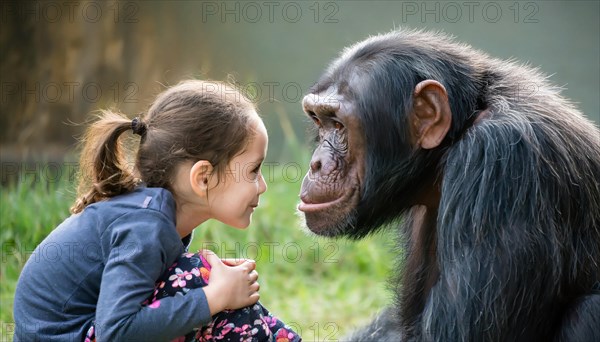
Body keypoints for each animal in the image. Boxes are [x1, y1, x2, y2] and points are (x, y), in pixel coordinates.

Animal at [296, 28, 600, 340]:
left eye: (339, 125)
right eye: (319, 120)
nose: (316, 163)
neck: (459, 131)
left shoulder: (498, 162)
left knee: (587, 310)